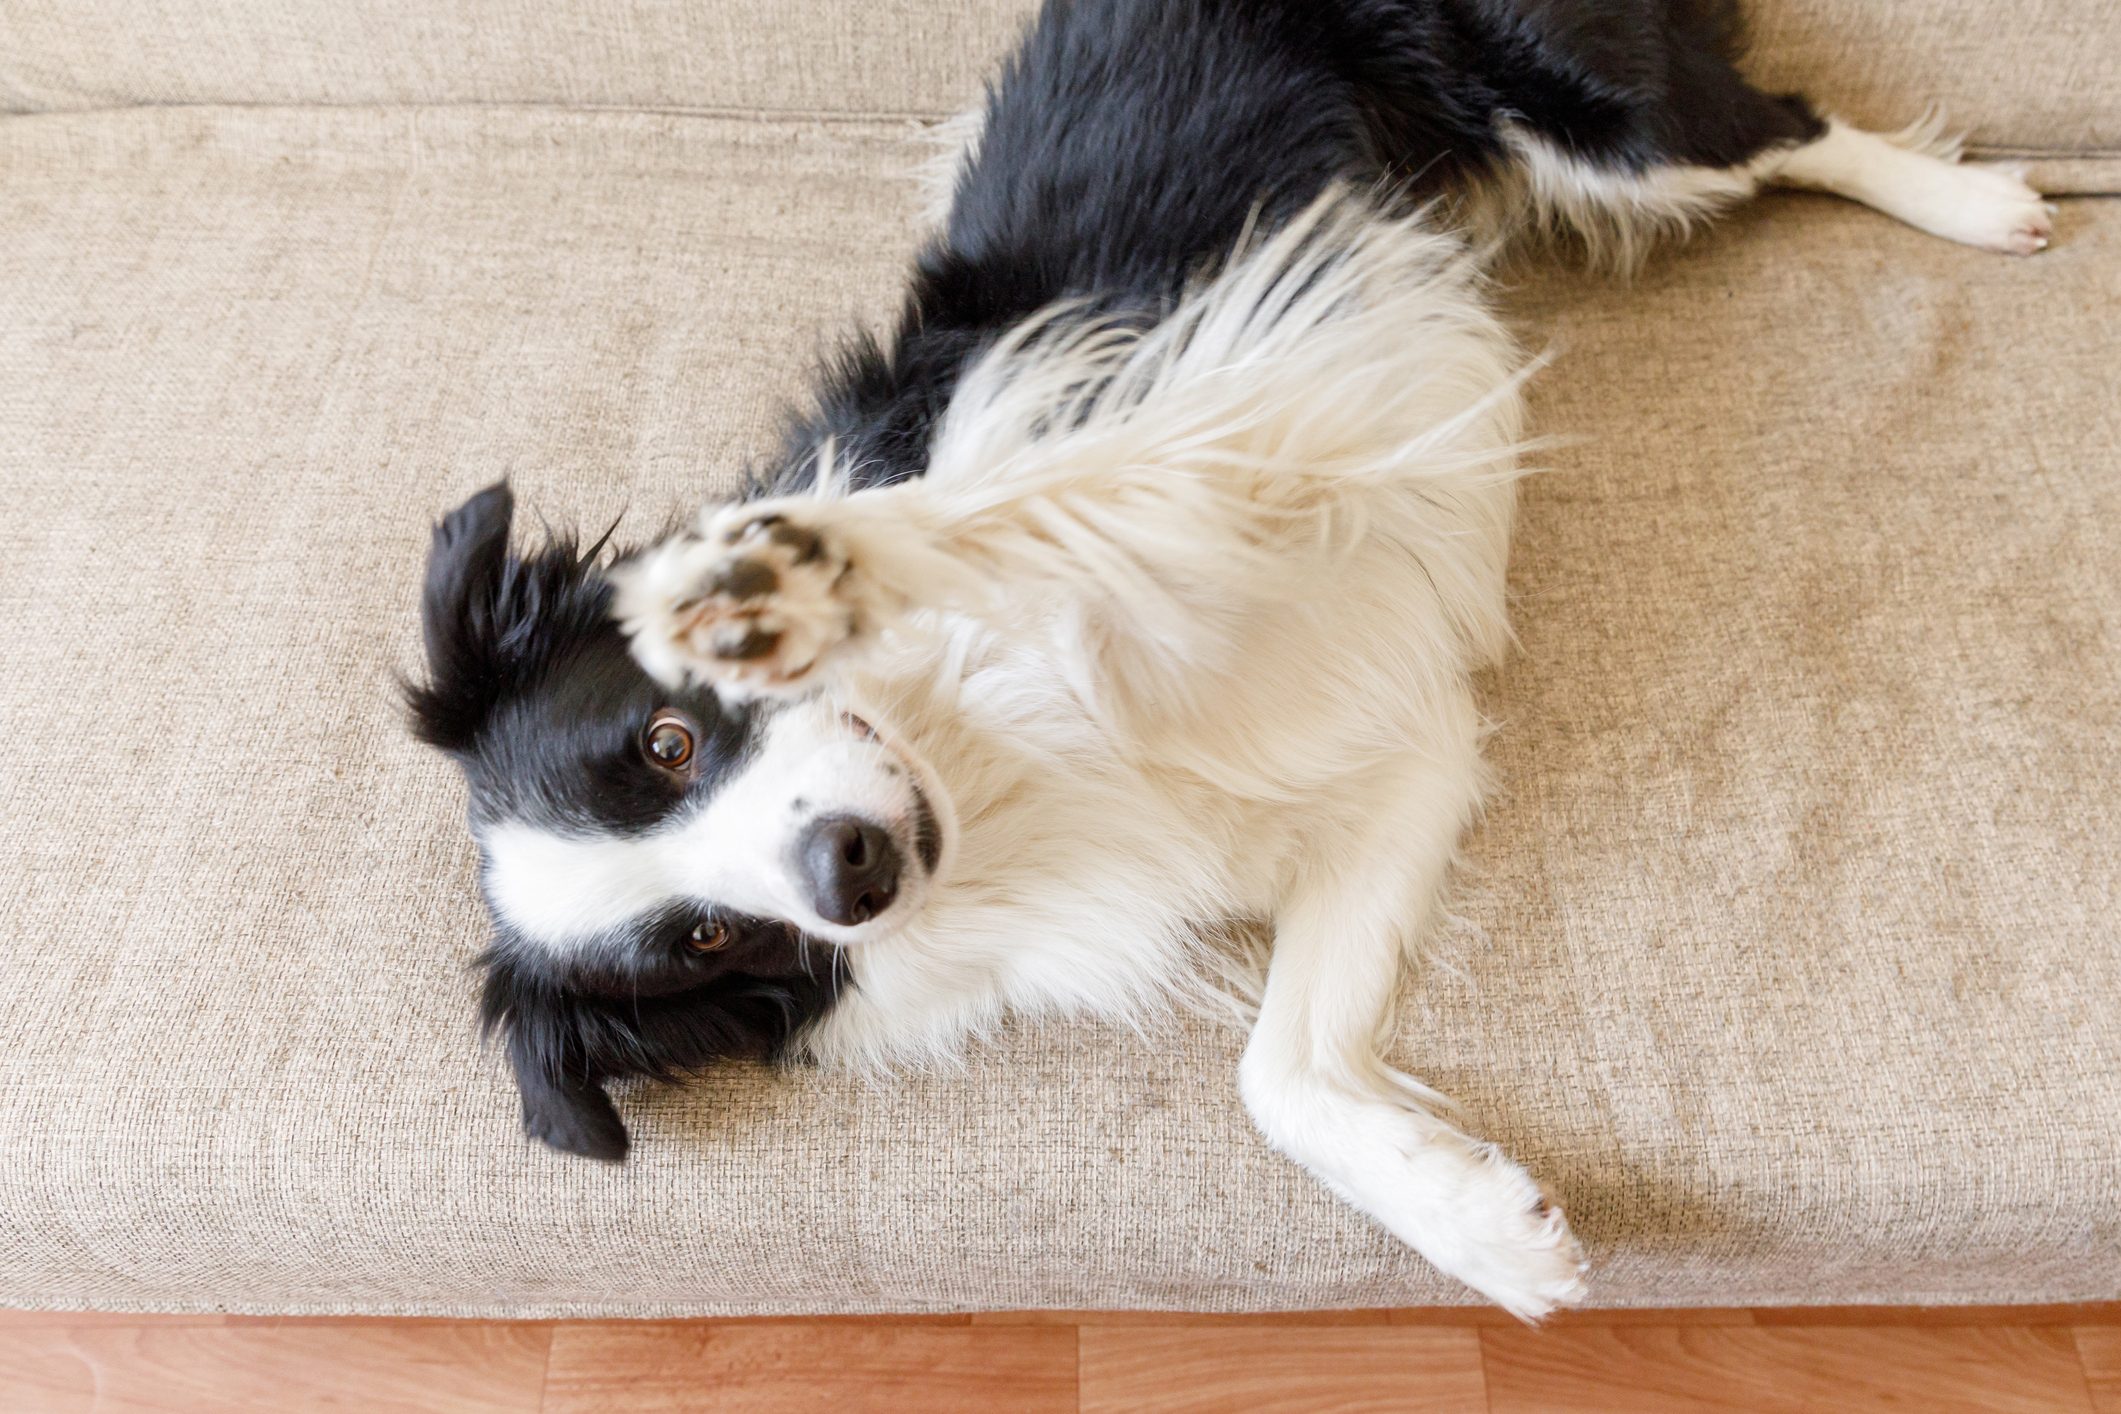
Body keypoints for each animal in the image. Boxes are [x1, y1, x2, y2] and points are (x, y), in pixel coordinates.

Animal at [405, 0, 2044, 1314]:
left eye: (669, 738)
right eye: (704, 942)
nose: (848, 874)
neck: (987, 762)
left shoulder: (1238, 420)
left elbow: (1021, 519)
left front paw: (795, 575)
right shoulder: (1393, 777)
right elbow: (1278, 1077)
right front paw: (1487, 1230)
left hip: (1588, 104)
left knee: (1772, 128)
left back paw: (1974, 202)